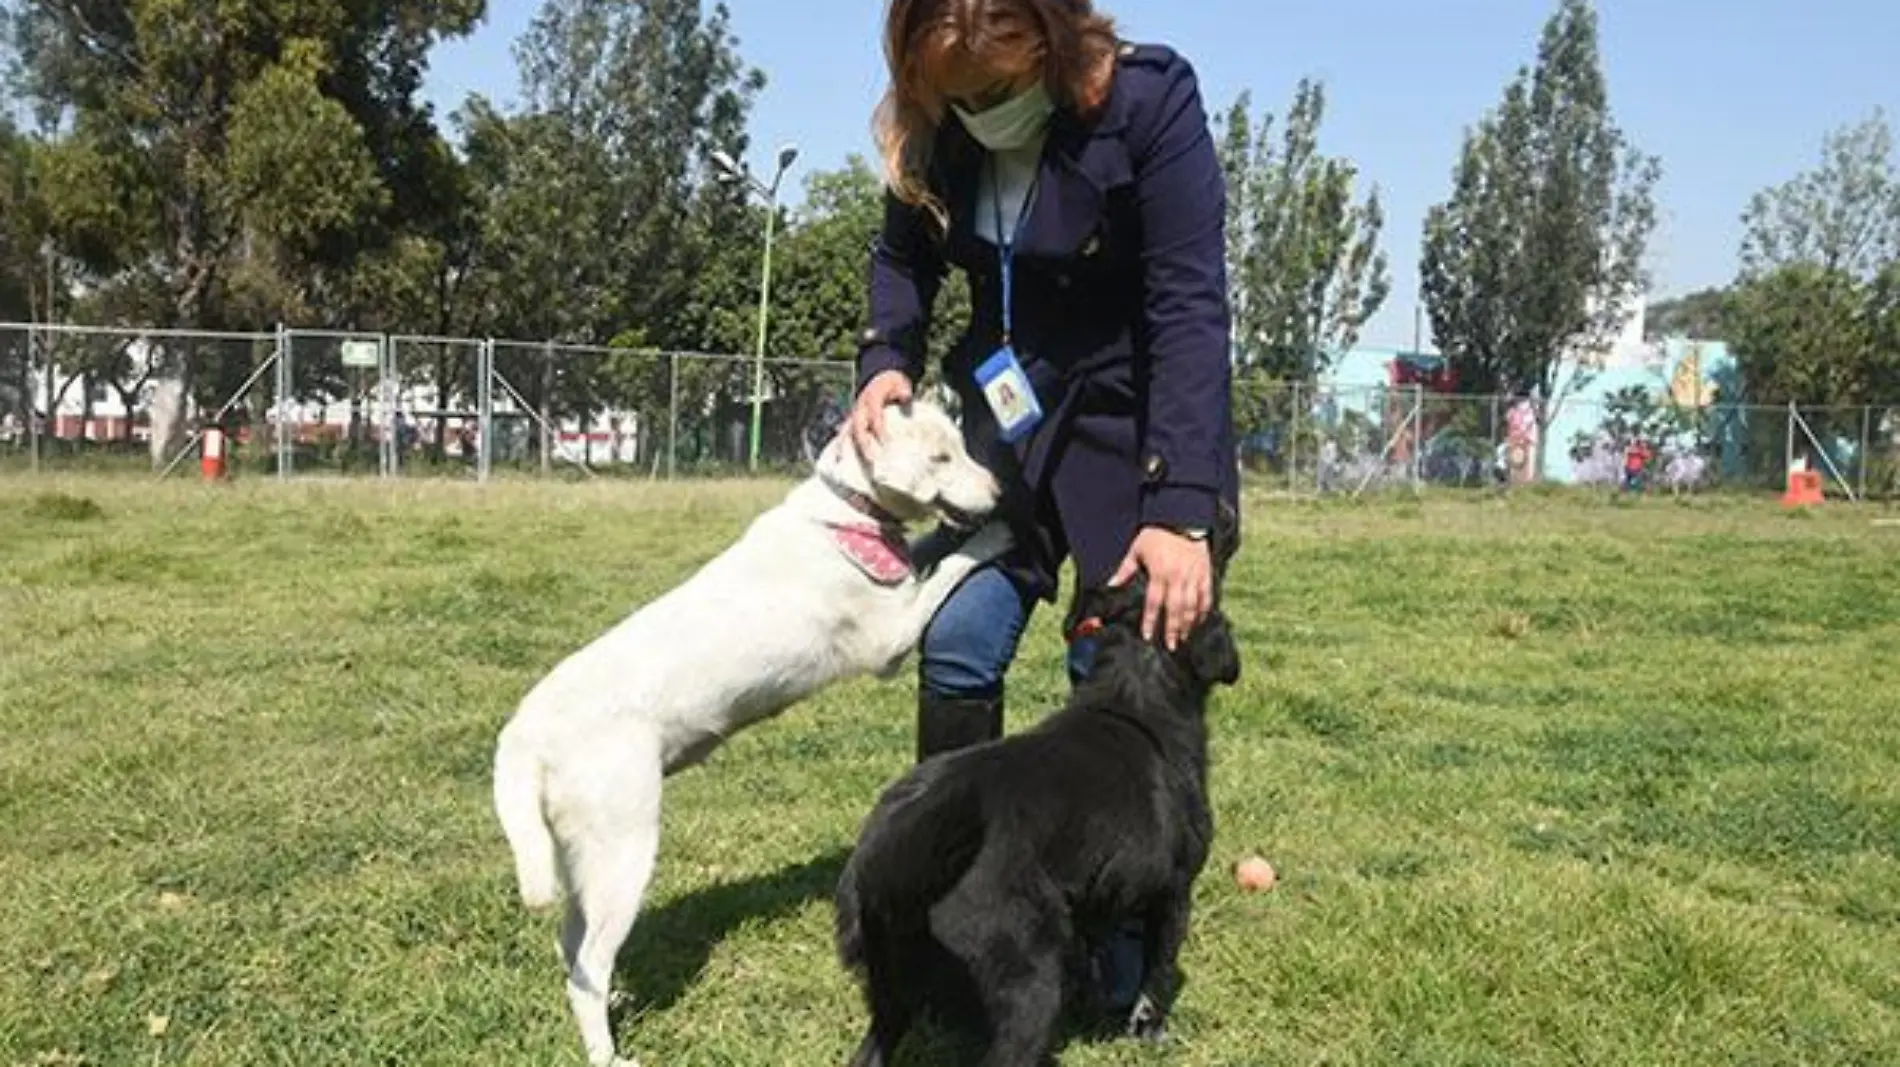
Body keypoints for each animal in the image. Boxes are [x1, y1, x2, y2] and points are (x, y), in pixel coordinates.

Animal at [497, 400, 1018, 1063]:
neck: (846, 515)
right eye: (941, 457)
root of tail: (524, 731)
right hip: (624, 851)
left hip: (579, 855)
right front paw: (991, 538)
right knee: (587, 964)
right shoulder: (890, 640)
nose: (1001, 493)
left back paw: (616, 1002)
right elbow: (949, 564)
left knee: (571, 944)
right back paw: (608, 1051)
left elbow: (928, 551)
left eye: (960, 447)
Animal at [839, 561, 1238, 1055]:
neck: (1134, 688)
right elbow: (1157, 976)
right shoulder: (1175, 892)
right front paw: (1150, 1031)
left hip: (889, 997)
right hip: (1027, 980)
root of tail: (891, 864)